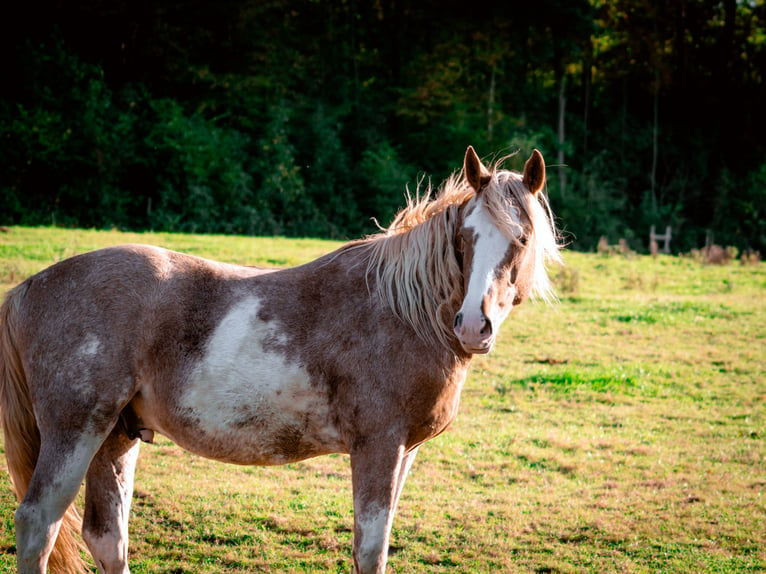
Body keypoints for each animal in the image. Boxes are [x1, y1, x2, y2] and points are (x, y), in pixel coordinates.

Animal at [0, 146, 564, 572]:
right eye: (465, 239)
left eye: (522, 238)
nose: (472, 326)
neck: (402, 310)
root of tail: (29, 288)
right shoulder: (378, 446)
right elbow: (370, 551)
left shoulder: (405, 452)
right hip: (76, 431)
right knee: (38, 524)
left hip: (114, 438)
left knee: (106, 538)